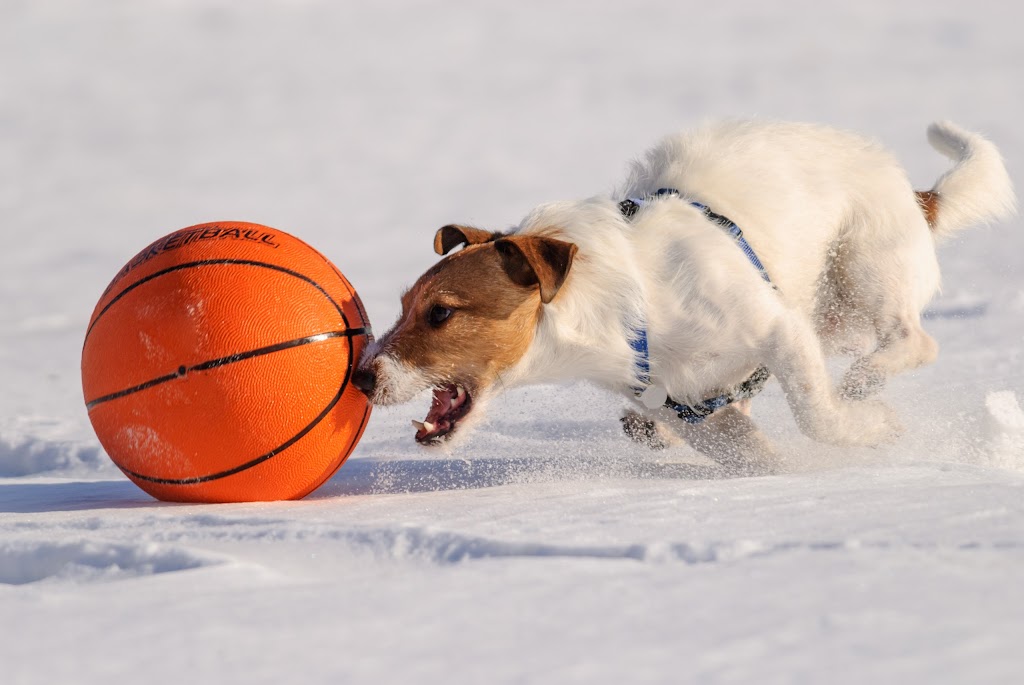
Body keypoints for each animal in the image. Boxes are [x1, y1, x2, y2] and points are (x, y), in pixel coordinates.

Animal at [352, 120, 1015, 473]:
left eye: (441, 312)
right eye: (402, 307)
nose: (360, 376)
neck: (627, 308)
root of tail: (917, 195)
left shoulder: (779, 331)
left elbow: (818, 416)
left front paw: (873, 428)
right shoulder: (691, 407)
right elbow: (751, 452)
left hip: (862, 273)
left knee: (913, 340)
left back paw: (865, 381)